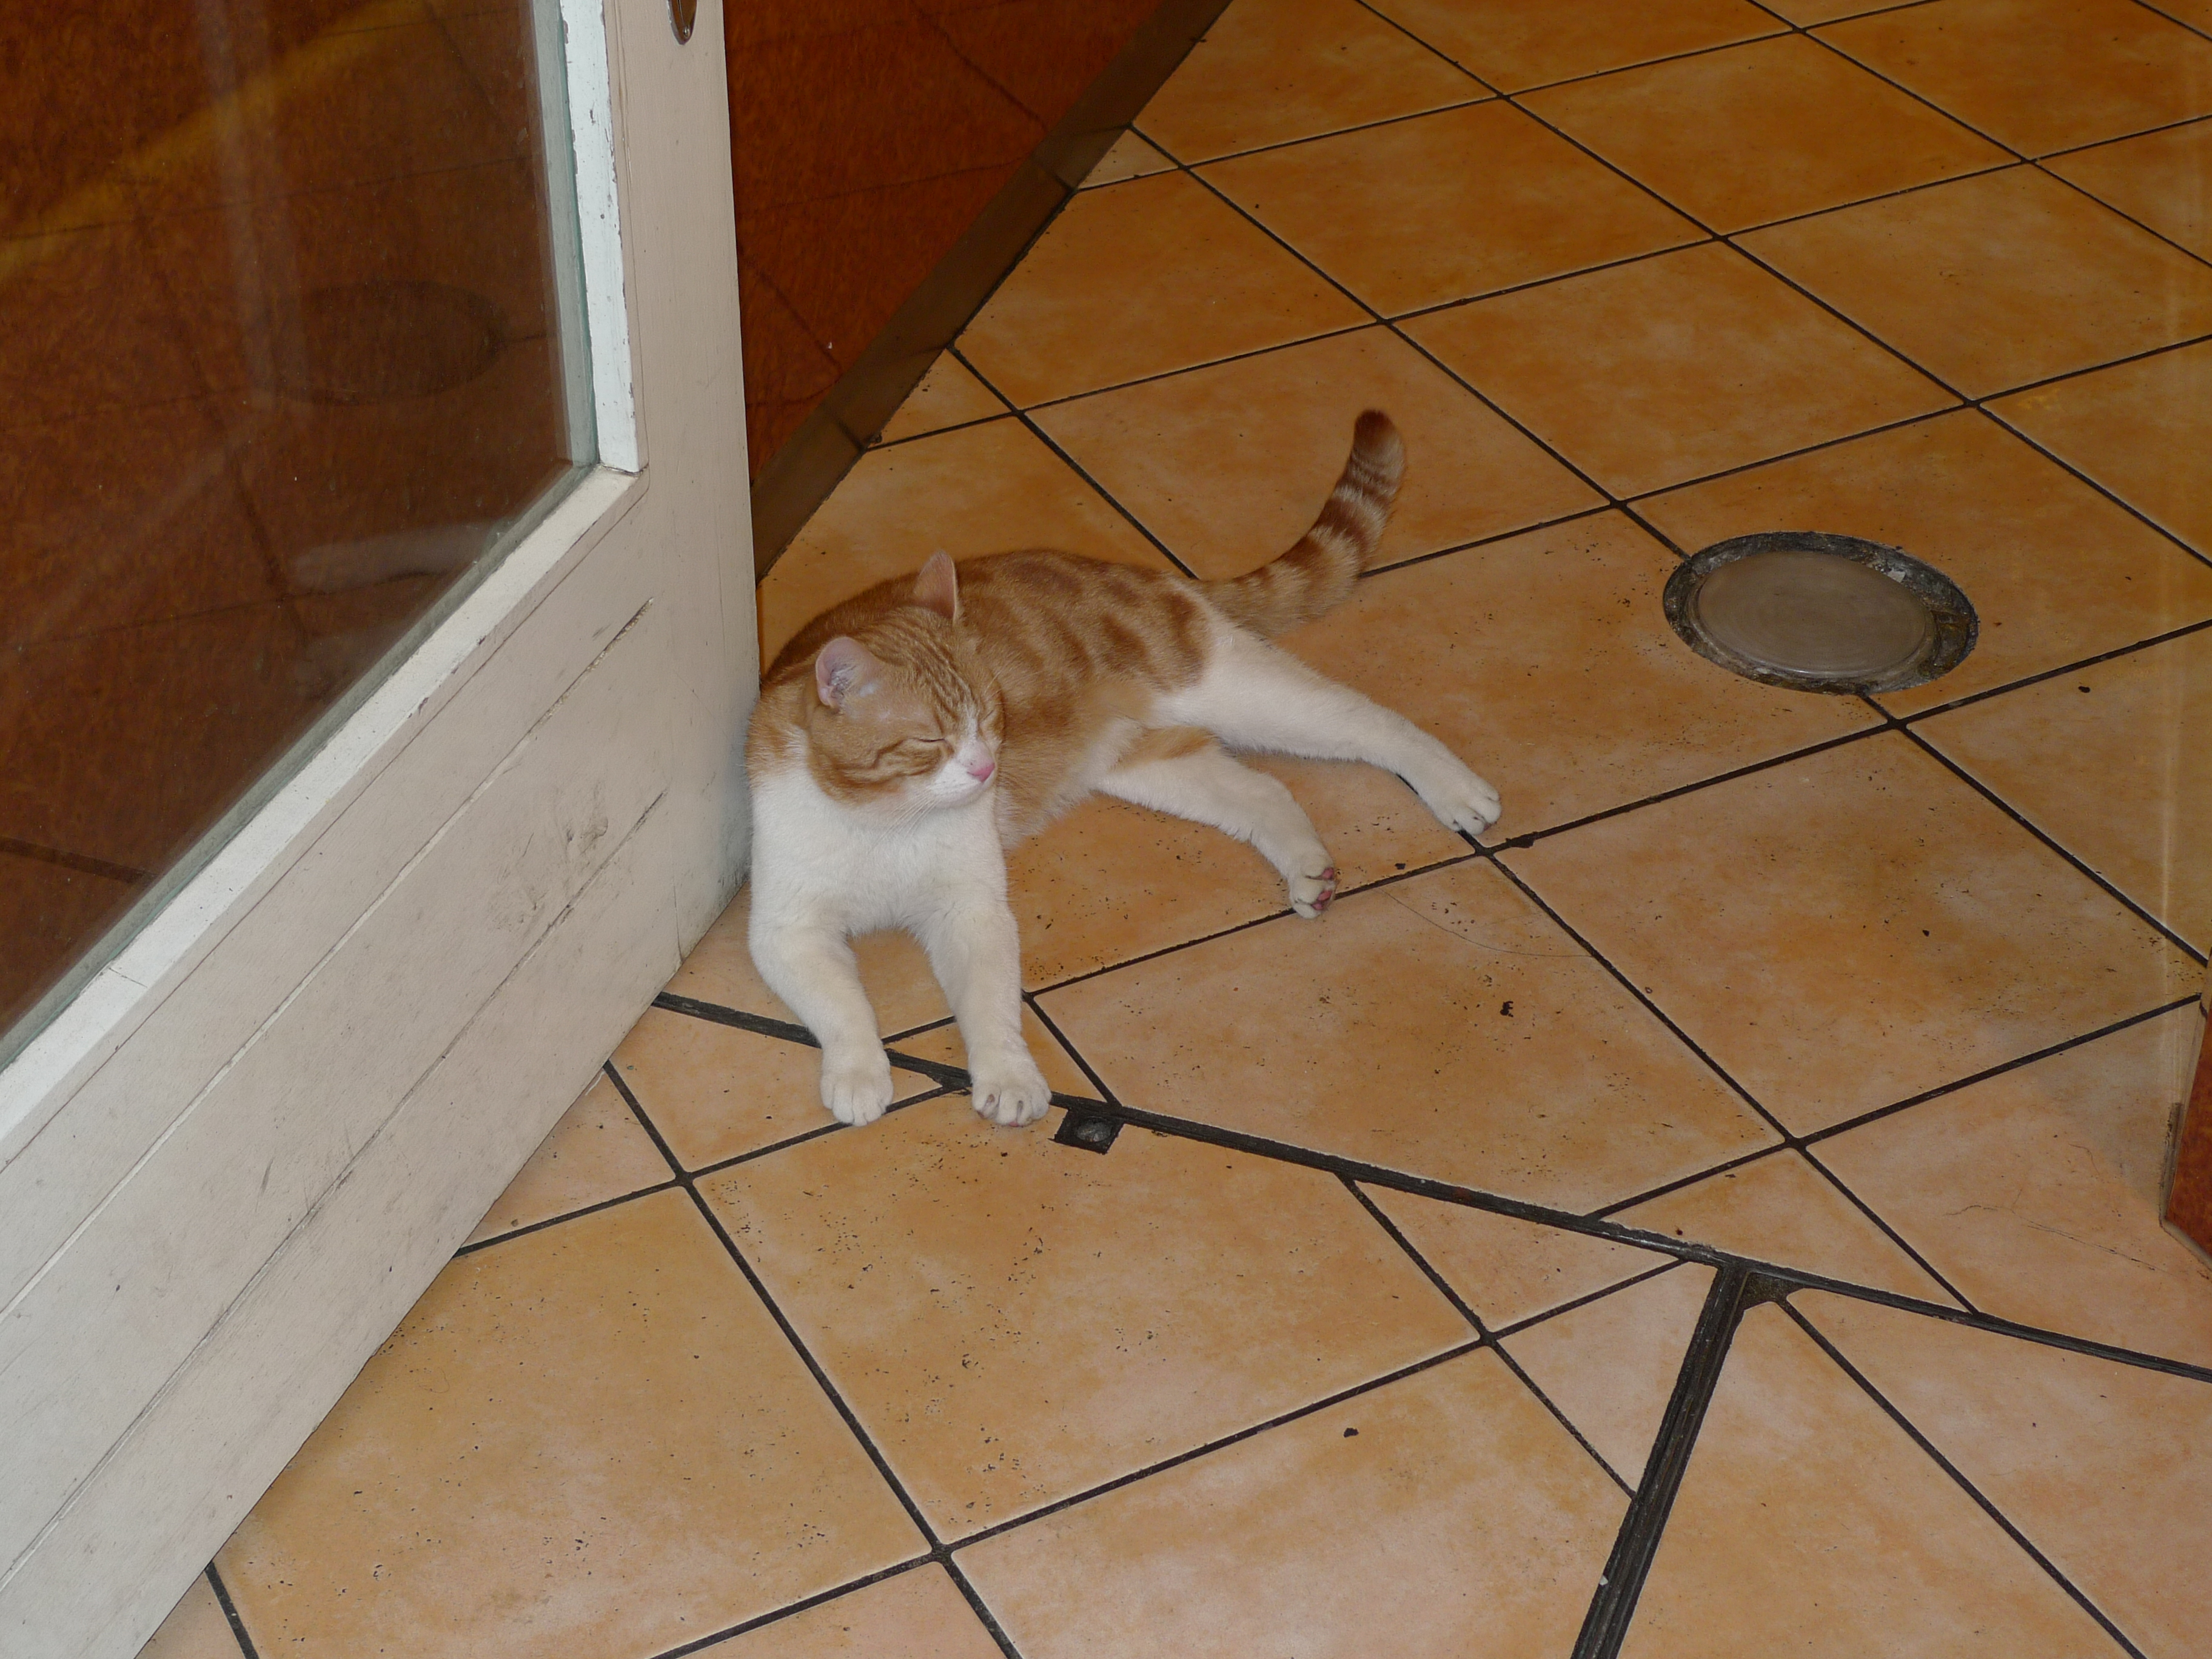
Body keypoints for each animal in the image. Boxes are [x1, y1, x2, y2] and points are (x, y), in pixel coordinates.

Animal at [745, 411, 1501, 1130]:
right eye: (931, 739)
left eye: (991, 717)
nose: (989, 769)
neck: (886, 822)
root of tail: (1138, 572)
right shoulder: (789, 930)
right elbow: (845, 1008)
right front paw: (859, 1075)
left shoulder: (971, 910)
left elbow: (989, 1007)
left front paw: (1008, 1078)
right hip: (1146, 760)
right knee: (1261, 788)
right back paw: (1309, 870)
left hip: (1235, 690)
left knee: (1372, 722)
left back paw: (1456, 789)